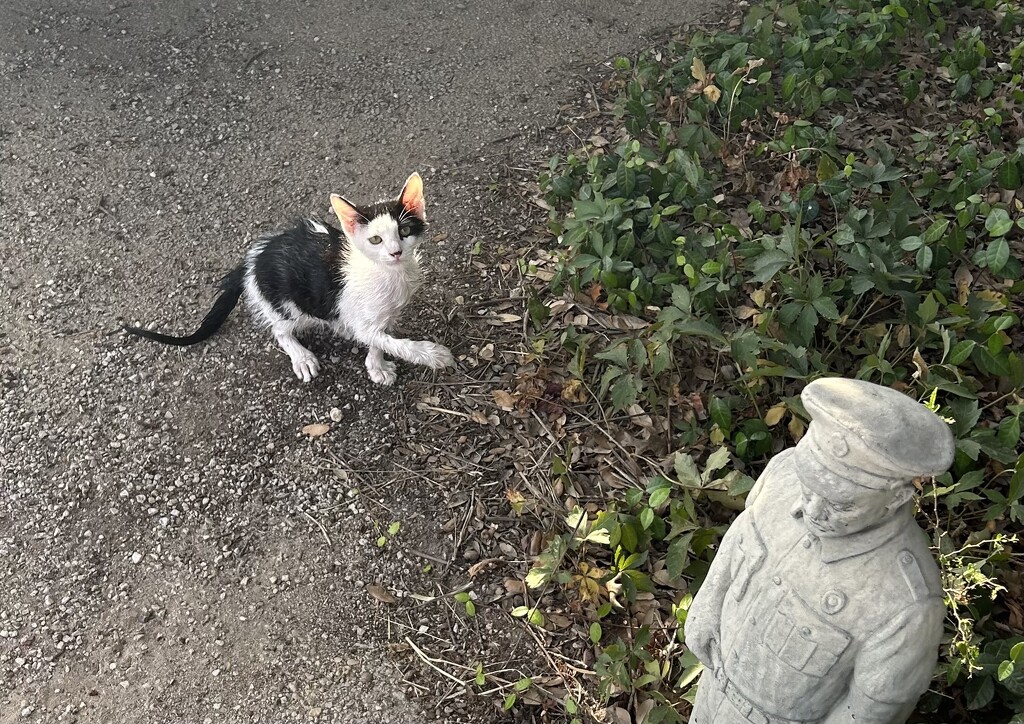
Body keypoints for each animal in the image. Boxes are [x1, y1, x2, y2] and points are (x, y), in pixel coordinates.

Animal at [123, 171, 452, 385]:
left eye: (404, 231)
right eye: (375, 240)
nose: (396, 252)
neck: (390, 275)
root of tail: (252, 258)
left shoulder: (384, 315)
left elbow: (379, 338)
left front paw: (376, 365)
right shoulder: (359, 318)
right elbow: (388, 340)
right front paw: (433, 355)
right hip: (287, 304)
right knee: (280, 330)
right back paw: (301, 356)